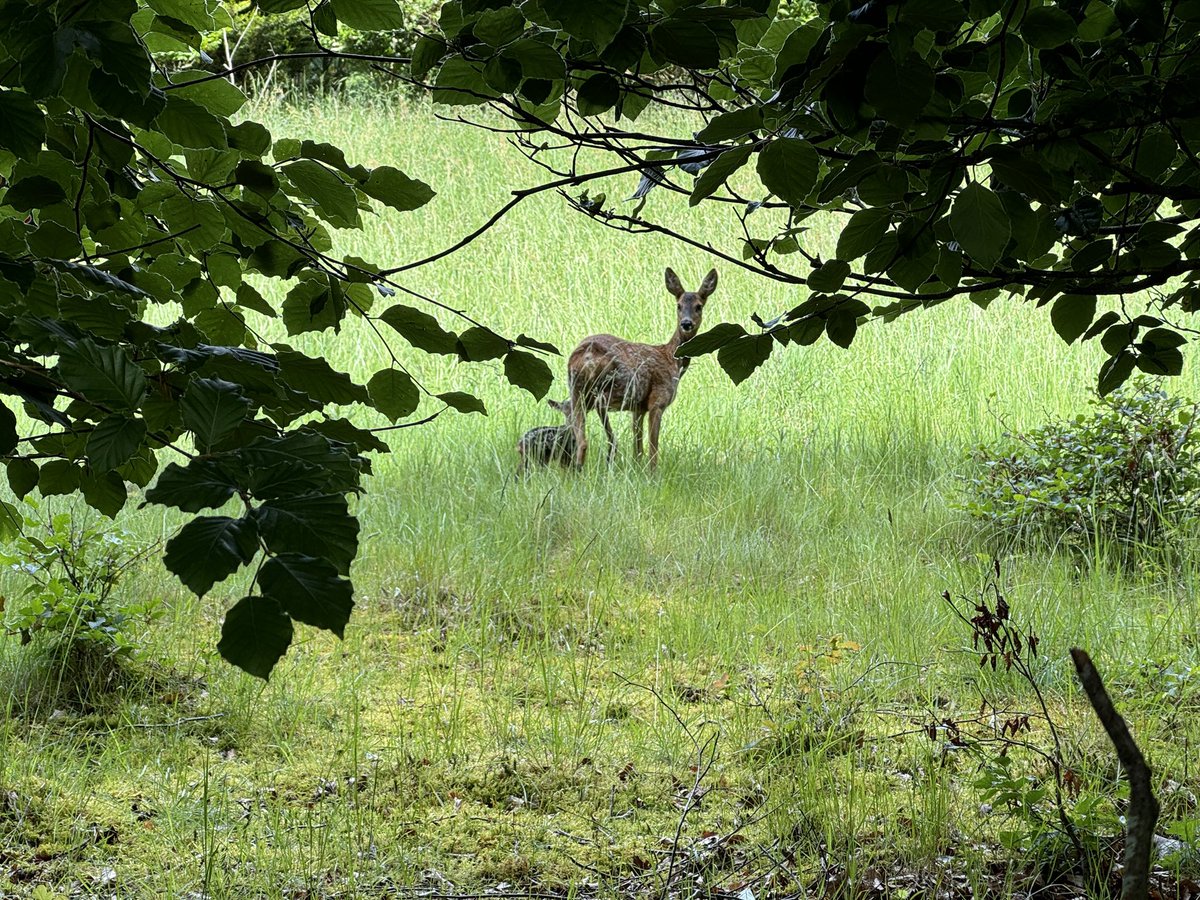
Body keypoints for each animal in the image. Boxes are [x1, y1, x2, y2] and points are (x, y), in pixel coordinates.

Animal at [567, 267, 717, 470]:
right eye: (678, 305)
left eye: (698, 306)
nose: (686, 323)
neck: (671, 359)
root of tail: (588, 353)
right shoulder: (657, 401)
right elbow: (653, 448)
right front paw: (652, 473)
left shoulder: (638, 408)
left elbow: (637, 448)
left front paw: (637, 468)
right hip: (620, 385)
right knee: (600, 408)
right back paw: (611, 451)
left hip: (576, 390)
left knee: (582, 440)